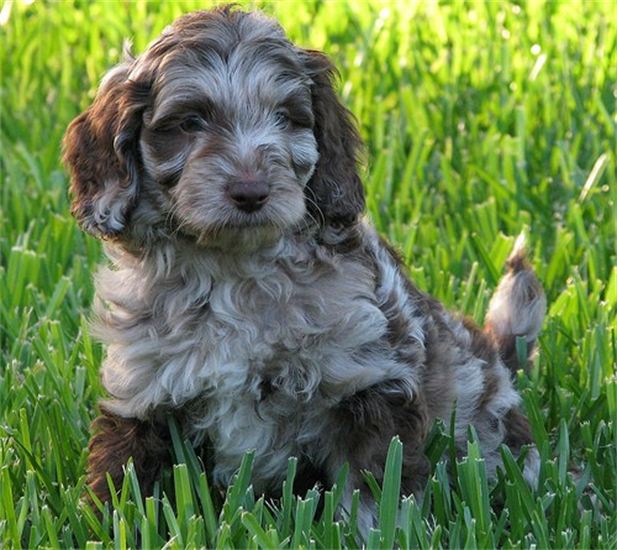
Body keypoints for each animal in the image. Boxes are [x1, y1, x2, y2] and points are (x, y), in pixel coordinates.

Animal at [62, 4, 544, 532]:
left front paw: (375, 533)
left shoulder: (368, 375)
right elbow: (124, 484)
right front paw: (102, 527)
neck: (233, 268)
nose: (251, 192)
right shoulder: (145, 387)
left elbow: (371, 490)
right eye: (190, 122)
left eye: (285, 118)